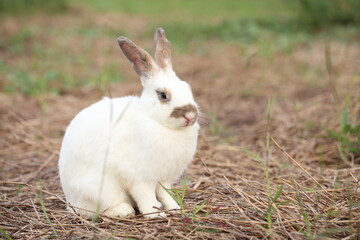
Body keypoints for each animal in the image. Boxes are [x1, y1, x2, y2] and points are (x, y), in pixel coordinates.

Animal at [58, 28, 200, 219]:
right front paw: (155, 214)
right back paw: (124, 210)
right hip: (102, 189)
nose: (190, 115)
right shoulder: (140, 177)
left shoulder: (163, 178)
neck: (157, 122)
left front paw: (176, 208)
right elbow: (146, 196)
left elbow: (165, 194)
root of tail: (70, 201)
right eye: (162, 95)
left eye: (188, 88)